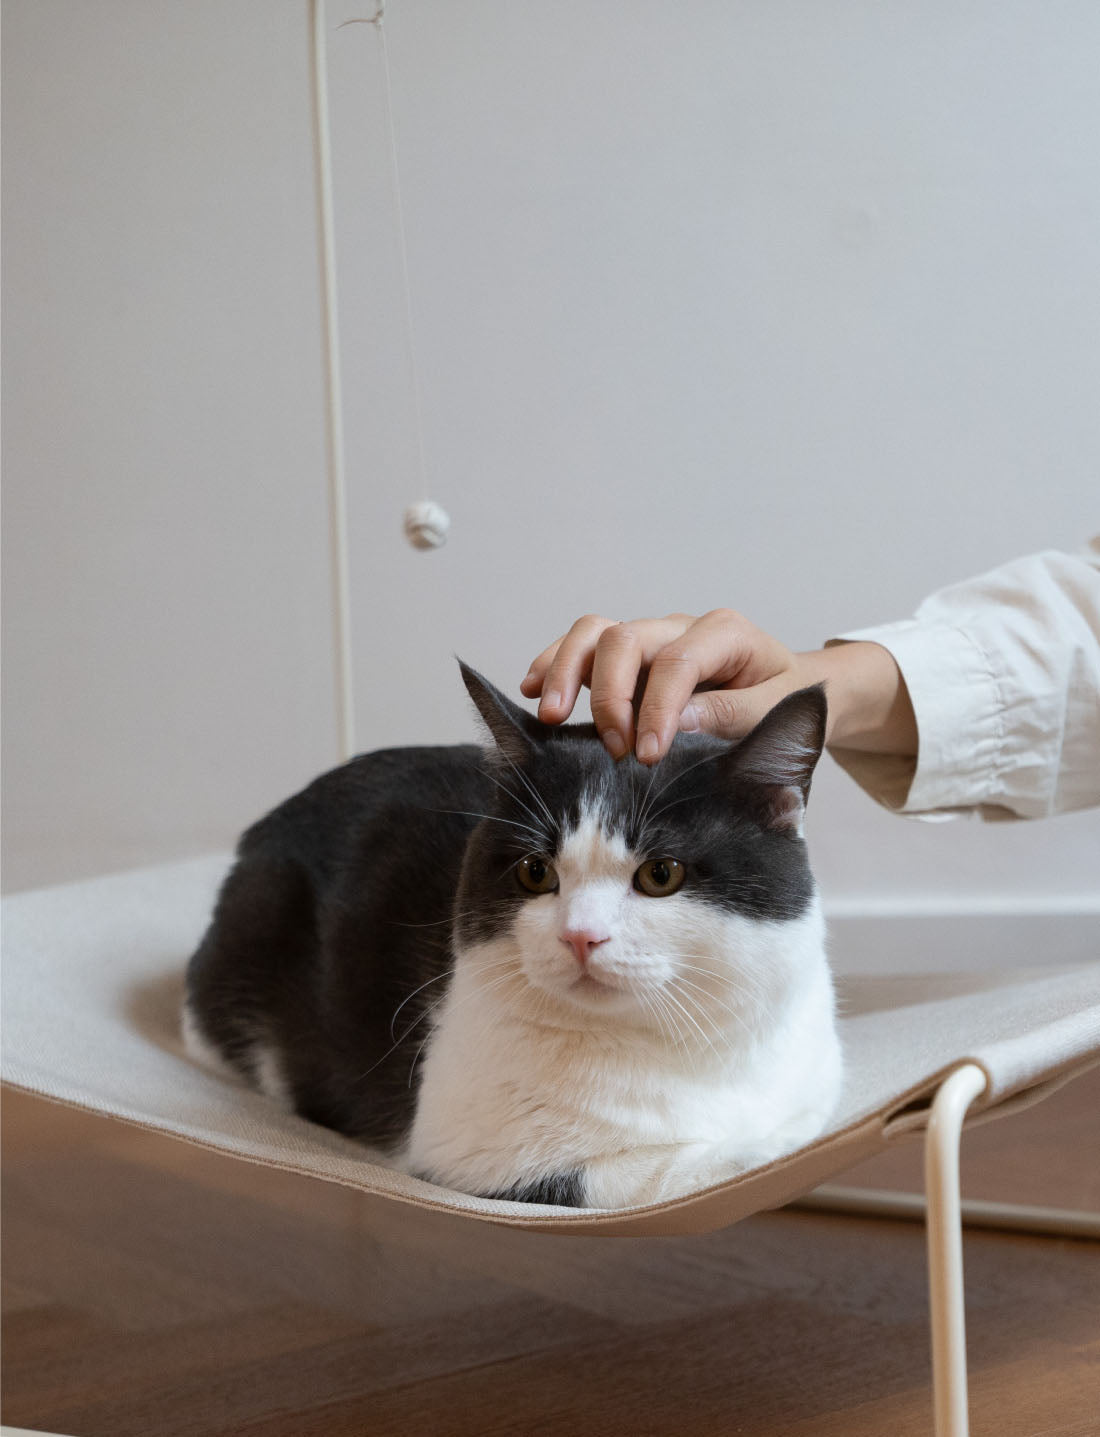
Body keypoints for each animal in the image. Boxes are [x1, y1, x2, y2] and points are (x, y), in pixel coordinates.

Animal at [182, 666, 839, 1207]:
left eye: (661, 874)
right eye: (535, 872)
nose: (581, 936)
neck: (684, 1050)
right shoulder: (469, 1154)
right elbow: (657, 1171)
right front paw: (744, 1152)